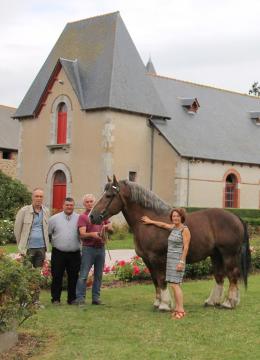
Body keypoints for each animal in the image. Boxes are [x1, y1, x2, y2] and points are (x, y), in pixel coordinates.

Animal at [90, 176, 252, 310]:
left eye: (109, 195)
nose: (92, 216)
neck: (148, 223)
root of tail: (236, 217)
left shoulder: (157, 258)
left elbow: (161, 279)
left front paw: (164, 305)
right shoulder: (147, 260)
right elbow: (155, 280)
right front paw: (157, 302)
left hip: (229, 254)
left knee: (232, 275)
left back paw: (229, 303)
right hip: (216, 255)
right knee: (219, 276)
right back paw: (212, 301)